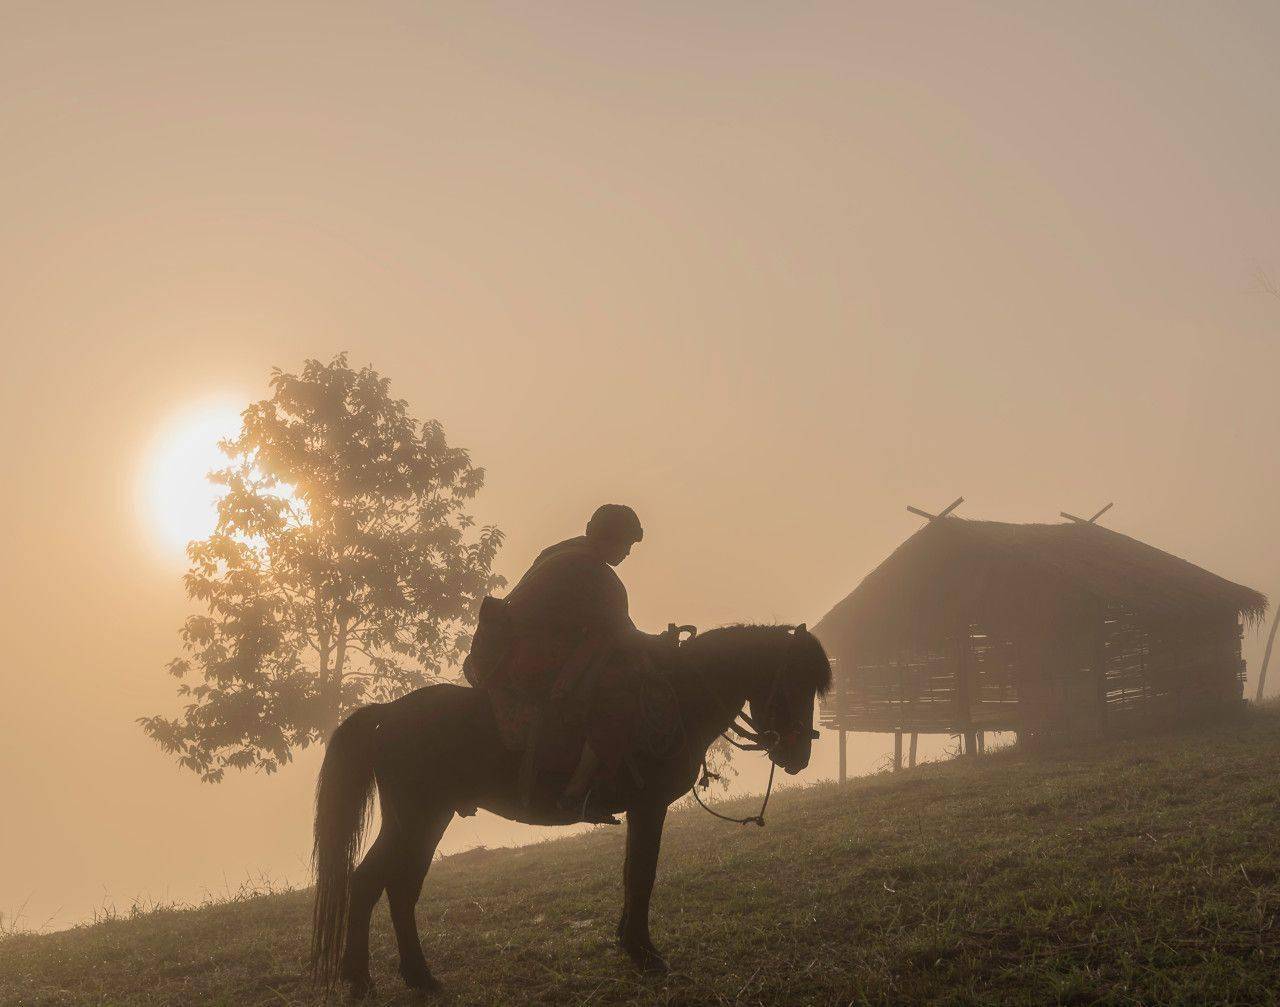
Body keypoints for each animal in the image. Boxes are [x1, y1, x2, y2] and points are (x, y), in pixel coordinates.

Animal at [307, 621, 829, 998]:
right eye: (793, 683)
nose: (799, 754)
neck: (677, 696)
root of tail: (388, 713)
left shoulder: (640, 810)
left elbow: (631, 873)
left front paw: (628, 941)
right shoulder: (649, 806)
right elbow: (642, 873)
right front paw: (645, 953)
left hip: (419, 822)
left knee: (393, 887)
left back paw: (410, 975)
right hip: (417, 820)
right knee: (374, 884)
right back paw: (367, 977)